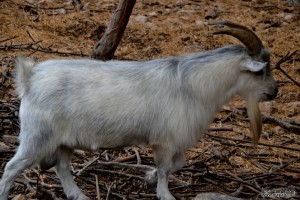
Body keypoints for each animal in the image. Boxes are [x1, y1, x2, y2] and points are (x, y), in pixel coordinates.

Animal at [0, 21, 276, 199]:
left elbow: (178, 163)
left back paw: (79, 196)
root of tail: (29, 78)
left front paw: (149, 178)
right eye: (260, 71)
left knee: (62, 168)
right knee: (11, 169)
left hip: (62, 142)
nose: (274, 92)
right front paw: (164, 193)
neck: (191, 85)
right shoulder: (165, 141)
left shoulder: (172, 142)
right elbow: (166, 169)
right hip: (37, 138)